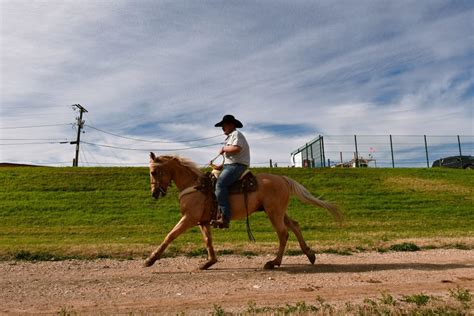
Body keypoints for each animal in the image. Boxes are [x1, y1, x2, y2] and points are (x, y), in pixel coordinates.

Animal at [144, 152, 340, 270]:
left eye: (153, 172)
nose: (154, 193)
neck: (194, 185)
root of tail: (283, 179)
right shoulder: (203, 221)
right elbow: (208, 240)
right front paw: (209, 262)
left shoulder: (189, 218)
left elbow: (170, 236)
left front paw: (150, 260)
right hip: (278, 212)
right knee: (295, 226)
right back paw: (310, 254)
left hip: (273, 213)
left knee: (283, 234)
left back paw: (274, 262)